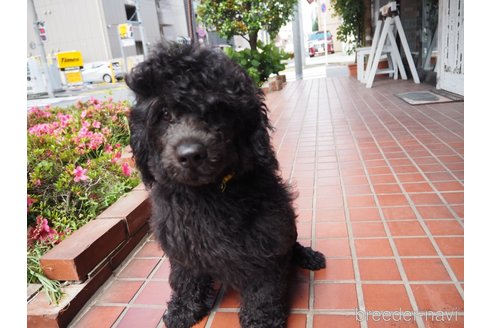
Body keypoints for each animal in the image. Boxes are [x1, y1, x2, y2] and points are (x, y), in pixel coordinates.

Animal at [126, 43, 326, 328]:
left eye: (215, 110)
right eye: (164, 114)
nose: (190, 155)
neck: (207, 193)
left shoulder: (265, 240)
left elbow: (263, 289)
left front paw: (261, 321)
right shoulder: (181, 243)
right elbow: (185, 279)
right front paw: (182, 310)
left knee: (292, 246)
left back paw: (308, 256)